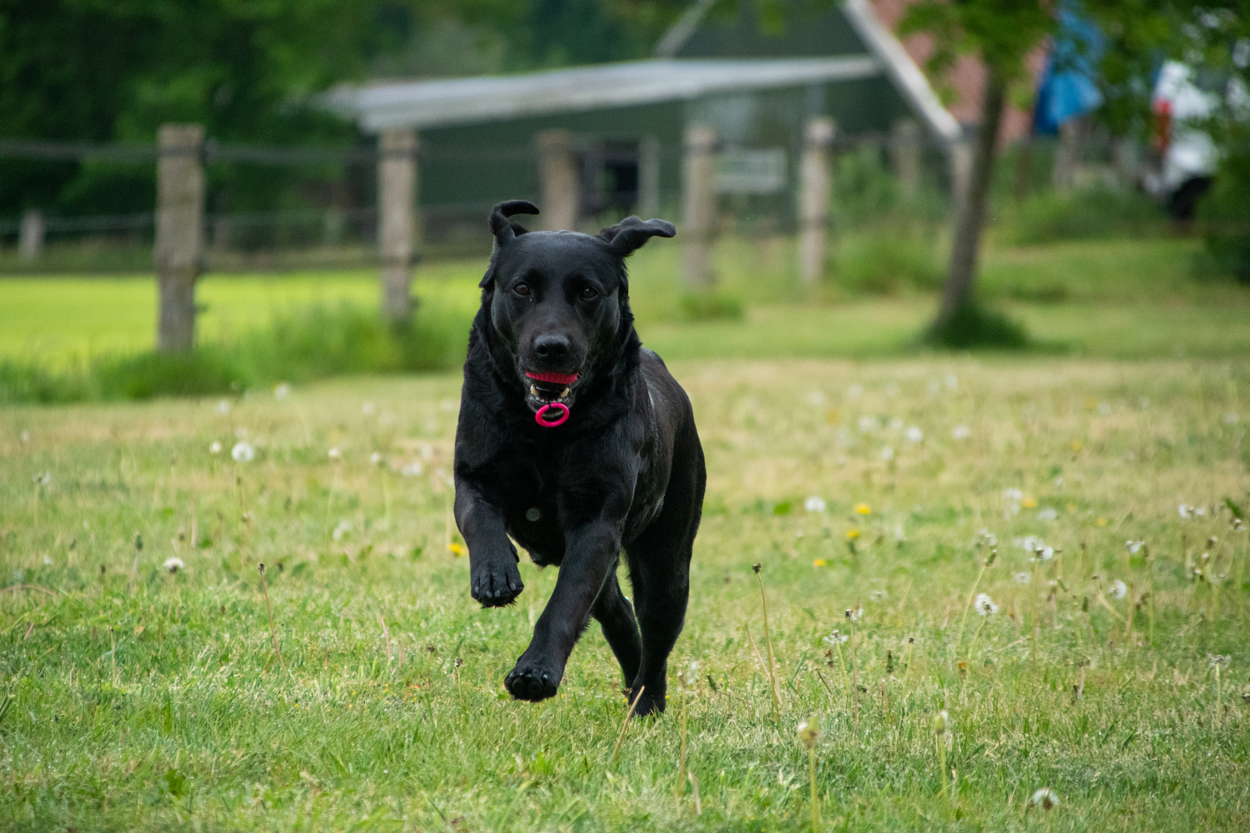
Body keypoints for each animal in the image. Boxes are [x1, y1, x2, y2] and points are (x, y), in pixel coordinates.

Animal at [452, 200, 710, 715]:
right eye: (522, 288)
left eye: (588, 291)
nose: (552, 348)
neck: (544, 430)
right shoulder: (471, 475)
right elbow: (479, 519)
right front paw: (495, 574)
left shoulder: (596, 524)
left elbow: (565, 604)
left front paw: (534, 673)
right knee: (619, 613)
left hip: (668, 562)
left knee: (654, 632)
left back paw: (647, 702)